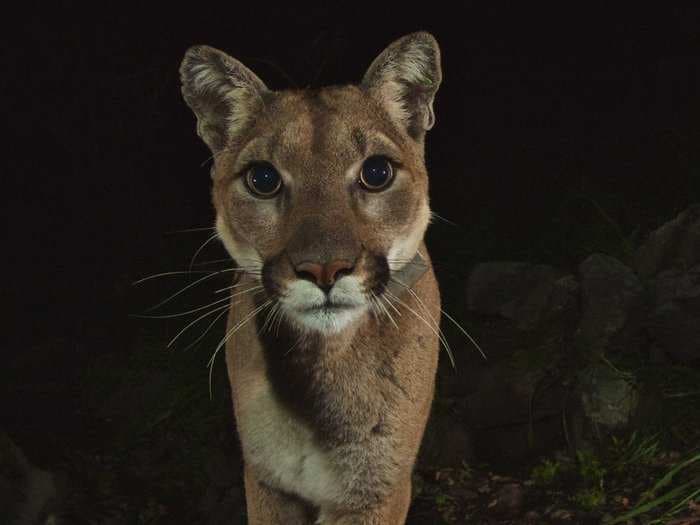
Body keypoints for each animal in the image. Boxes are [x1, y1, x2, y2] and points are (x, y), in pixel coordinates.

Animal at [180, 30, 442, 520]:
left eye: (376, 172)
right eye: (263, 179)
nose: (324, 269)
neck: (320, 365)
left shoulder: (376, 490)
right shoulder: (267, 481)